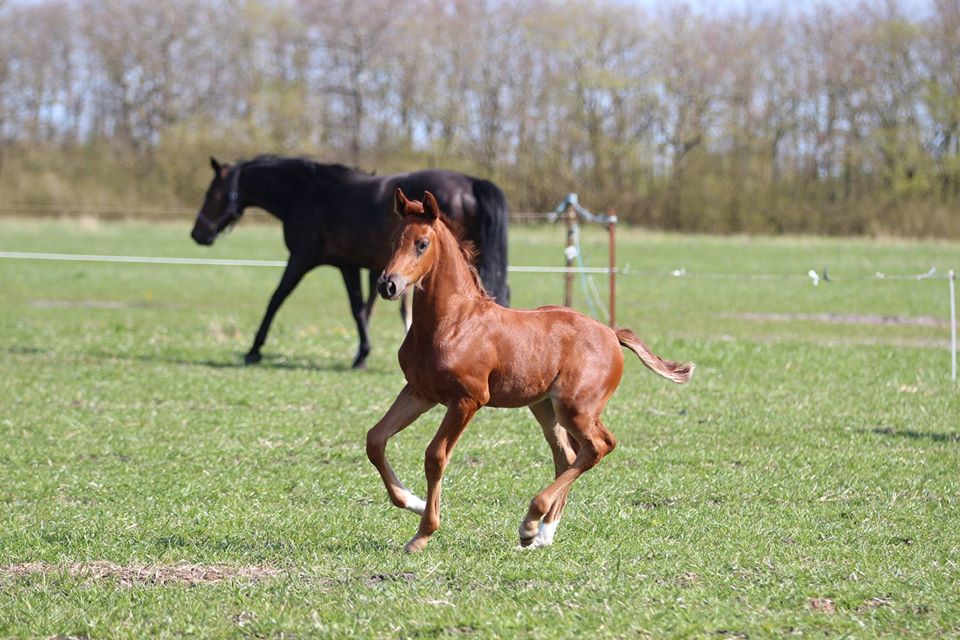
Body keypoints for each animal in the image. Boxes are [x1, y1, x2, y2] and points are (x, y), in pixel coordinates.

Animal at [190, 153, 512, 370]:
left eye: (212, 193)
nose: (198, 233)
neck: (307, 194)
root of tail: (473, 183)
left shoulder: (302, 258)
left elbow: (276, 298)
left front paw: (254, 349)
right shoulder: (349, 265)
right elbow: (359, 309)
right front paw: (362, 354)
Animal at [366, 189, 688, 552]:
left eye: (422, 243)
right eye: (394, 239)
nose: (387, 285)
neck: (452, 322)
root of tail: (611, 333)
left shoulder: (467, 400)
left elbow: (435, 456)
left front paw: (422, 533)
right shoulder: (420, 392)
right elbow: (375, 439)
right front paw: (414, 502)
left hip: (577, 408)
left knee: (598, 446)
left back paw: (531, 522)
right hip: (546, 408)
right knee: (567, 455)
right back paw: (542, 533)